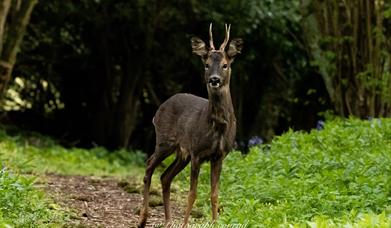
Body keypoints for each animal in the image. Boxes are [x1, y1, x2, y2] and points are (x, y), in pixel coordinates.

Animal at [137, 24, 242, 227]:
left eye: (225, 65)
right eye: (206, 64)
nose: (214, 79)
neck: (217, 127)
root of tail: (159, 110)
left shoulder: (219, 155)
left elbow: (215, 194)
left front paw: (215, 223)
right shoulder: (197, 152)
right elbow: (192, 193)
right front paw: (185, 223)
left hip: (181, 153)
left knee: (165, 176)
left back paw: (169, 220)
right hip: (165, 141)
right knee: (149, 166)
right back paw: (143, 219)